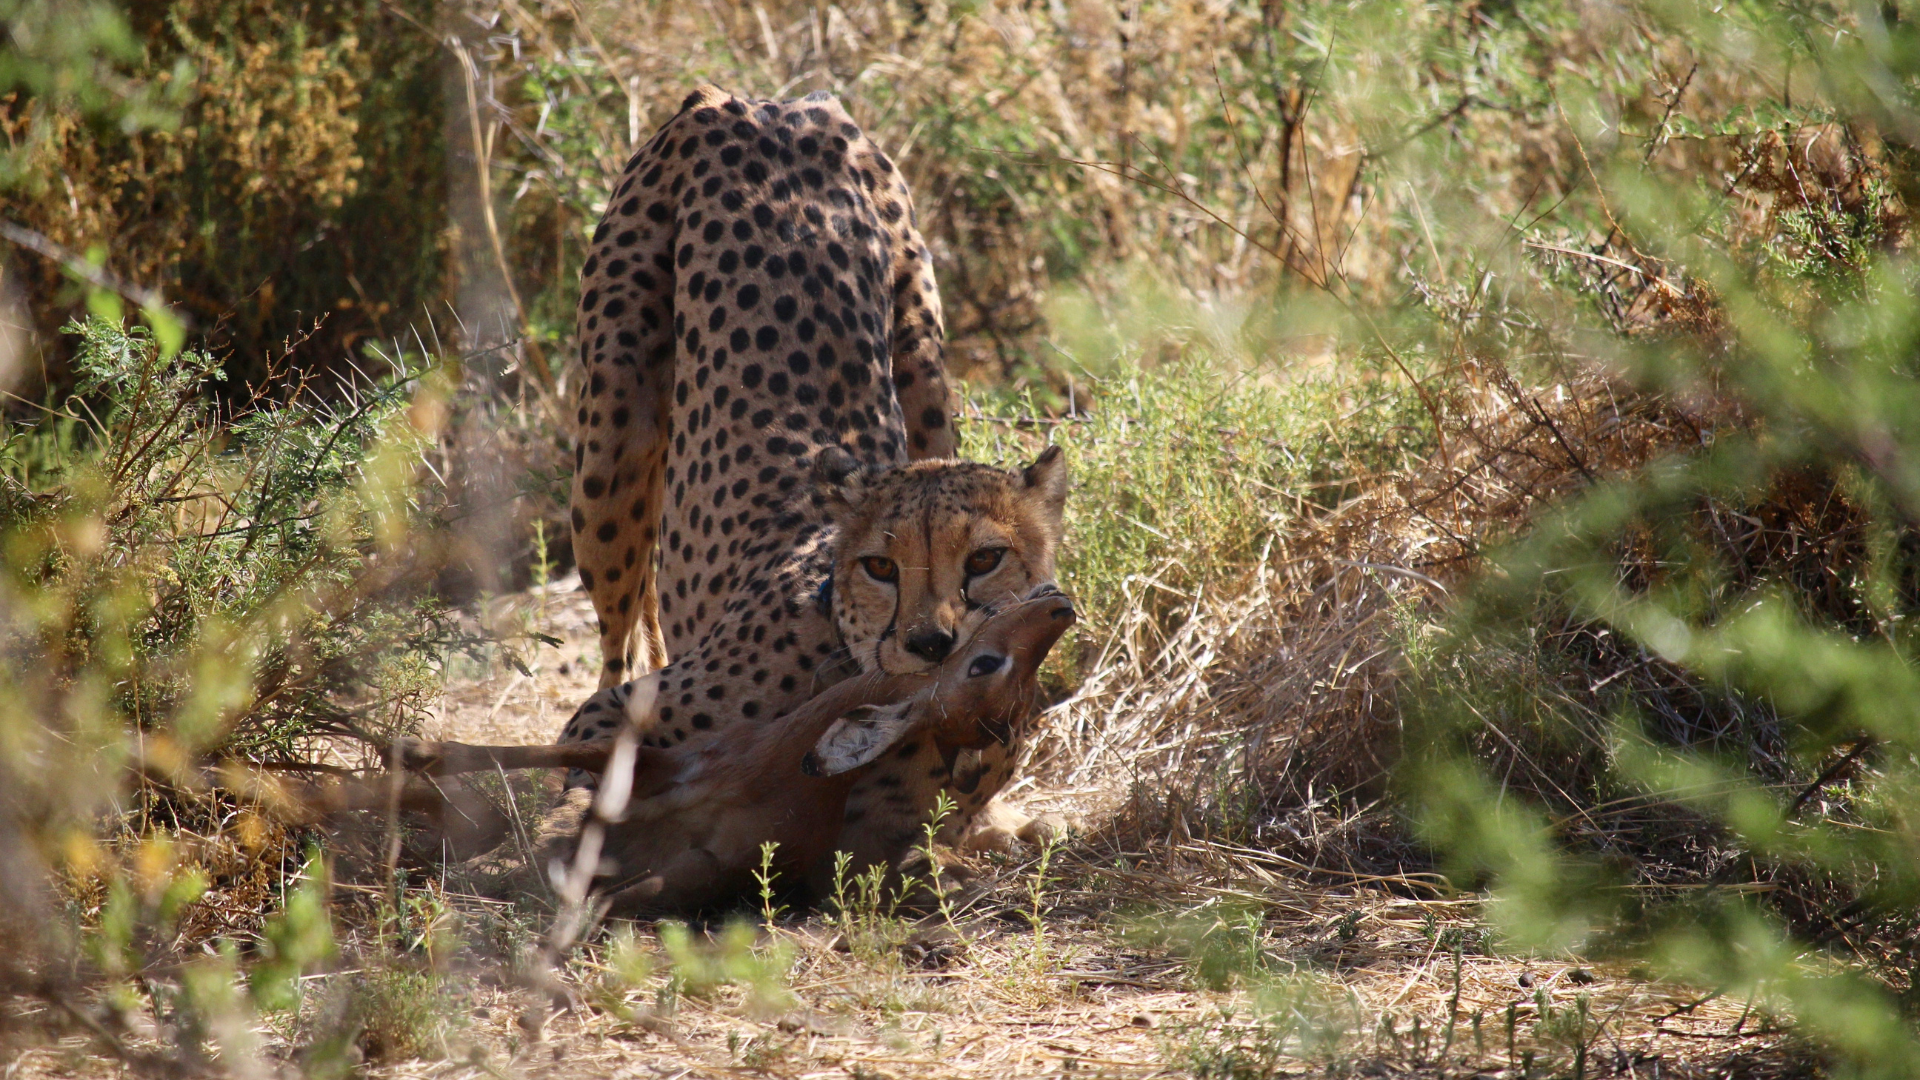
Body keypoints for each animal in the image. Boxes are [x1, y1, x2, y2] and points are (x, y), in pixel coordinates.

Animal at [560, 88, 1067, 887]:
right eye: (881, 566)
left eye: (985, 560)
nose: (929, 643)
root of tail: (760, 101)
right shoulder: (608, 718)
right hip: (612, 439)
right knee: (618, 632)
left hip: (925, 371)